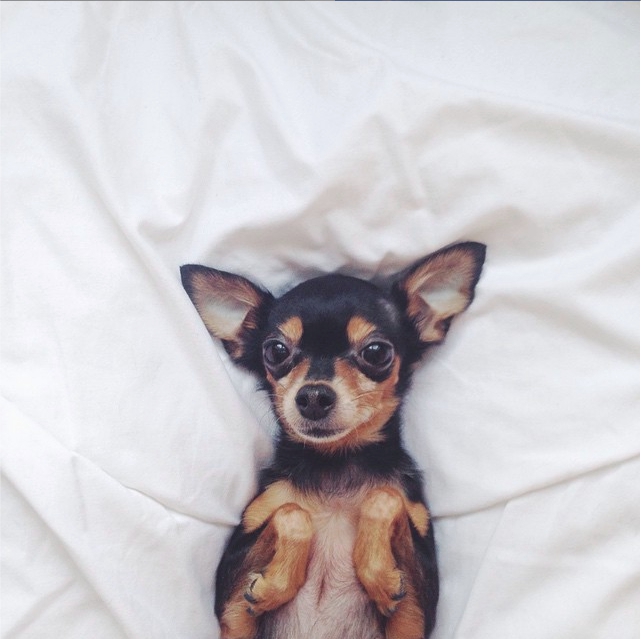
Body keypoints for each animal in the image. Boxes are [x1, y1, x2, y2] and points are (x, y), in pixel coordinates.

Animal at [181, 241, 486, 639]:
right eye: (276, 351)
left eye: (376, 352)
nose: (312, 396)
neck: (337, 460)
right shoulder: (232, 583)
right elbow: (292, 513)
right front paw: (270, 589)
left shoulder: (420, 601)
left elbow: (383, 498)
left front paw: (381, 581)